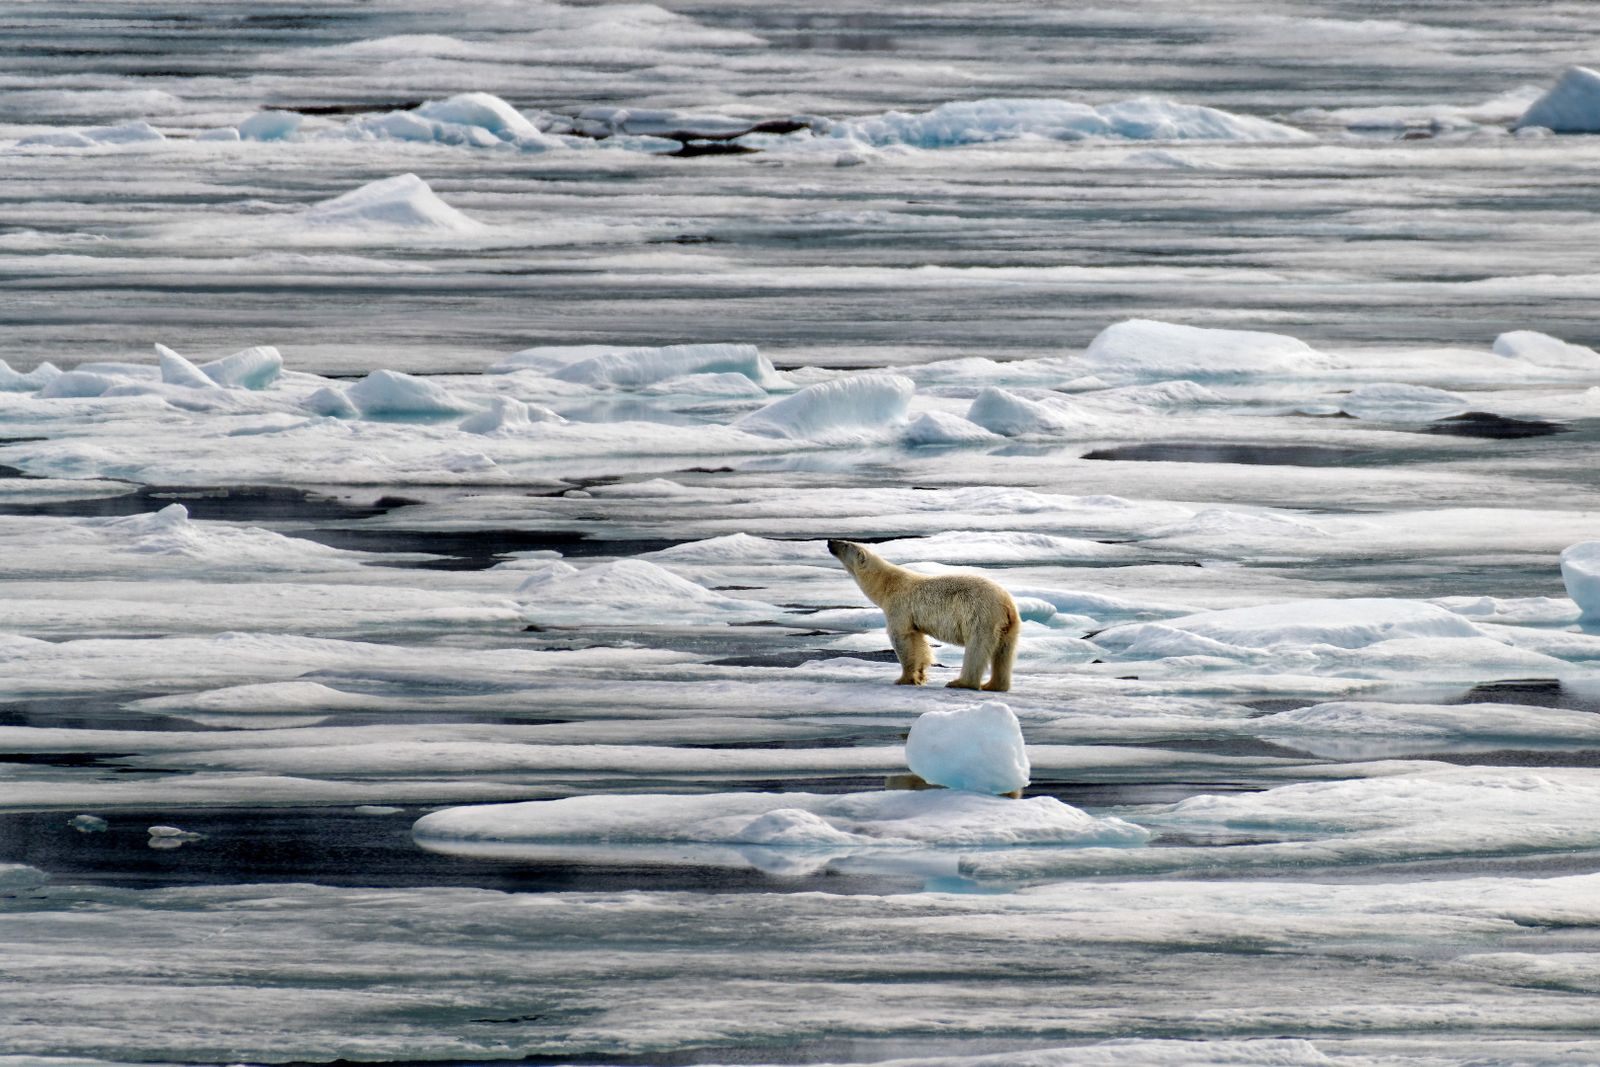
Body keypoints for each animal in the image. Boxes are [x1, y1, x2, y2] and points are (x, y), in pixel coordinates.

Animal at [827, 539, 1020, 691]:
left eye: (845, 544)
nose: (829, 541)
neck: (888, 584)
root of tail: (1006, 604)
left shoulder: (899, 607)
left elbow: (902, 640)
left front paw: (904, 679)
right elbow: (919, 642)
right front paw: (920, 675)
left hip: (980, 615)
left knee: (976, 648)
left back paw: (961, 682)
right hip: (1009, 626)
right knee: (1004, 652)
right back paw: (994, 685)